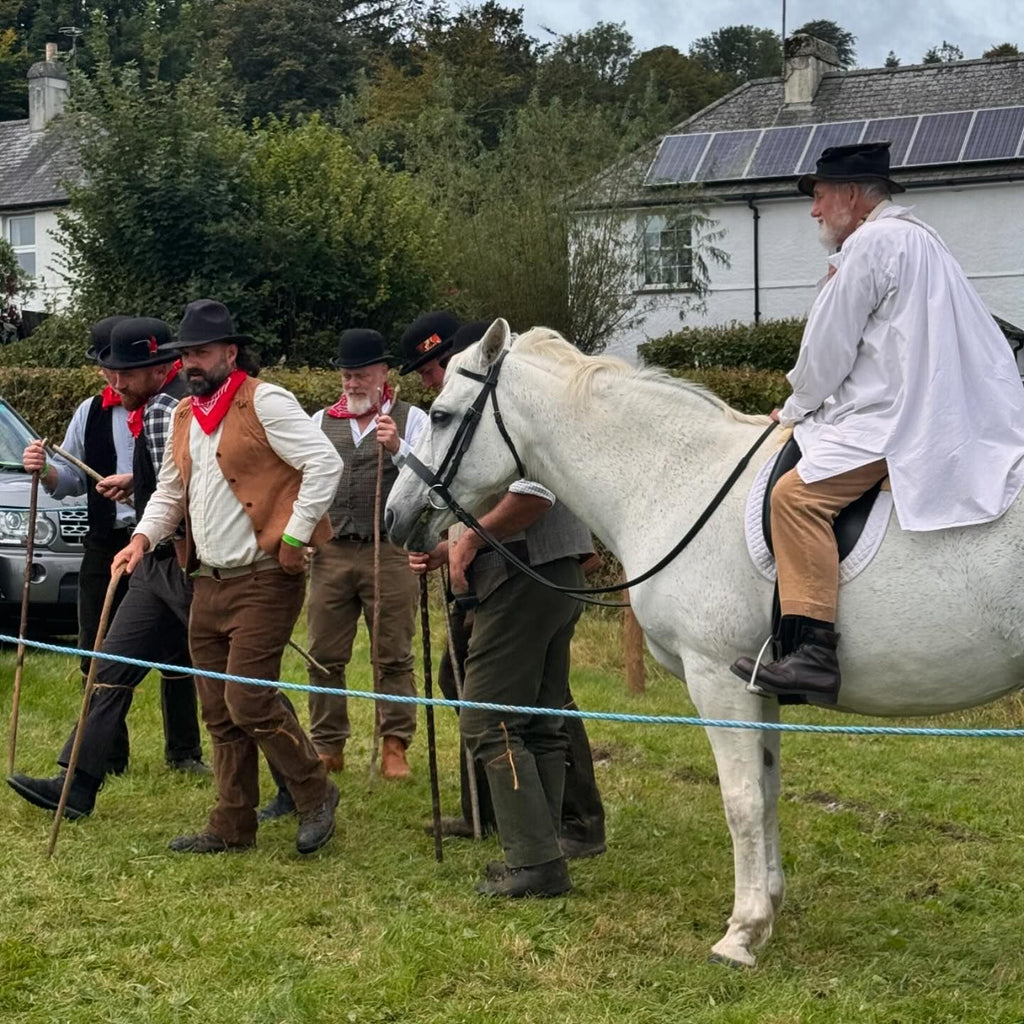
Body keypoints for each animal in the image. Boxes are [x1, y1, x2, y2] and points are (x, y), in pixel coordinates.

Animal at [385, 319, 1024, 966]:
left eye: (439, 414)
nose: (394, 517)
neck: (674, 481)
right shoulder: (756, 686)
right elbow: (766, 791)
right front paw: (768, 906)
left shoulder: (717, 679)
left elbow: (740, 800)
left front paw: (741, 933)